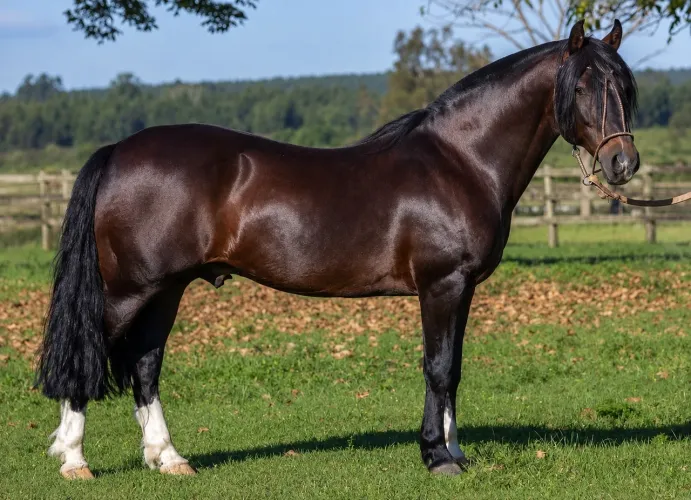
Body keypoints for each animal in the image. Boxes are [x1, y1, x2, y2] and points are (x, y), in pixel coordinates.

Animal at [37, 19, 639, 479]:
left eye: (625, 86)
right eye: (581, 87)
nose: (623, 163)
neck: (459, 161)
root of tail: (119, 150)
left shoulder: (461, 288)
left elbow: (454, 369)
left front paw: (455, 449)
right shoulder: (441, 284)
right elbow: (438, 367)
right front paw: (437, 457)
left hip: (165, 290)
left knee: (145, 365)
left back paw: (169, 459)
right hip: (127, 291)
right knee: (86, 356)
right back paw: (73, 461)